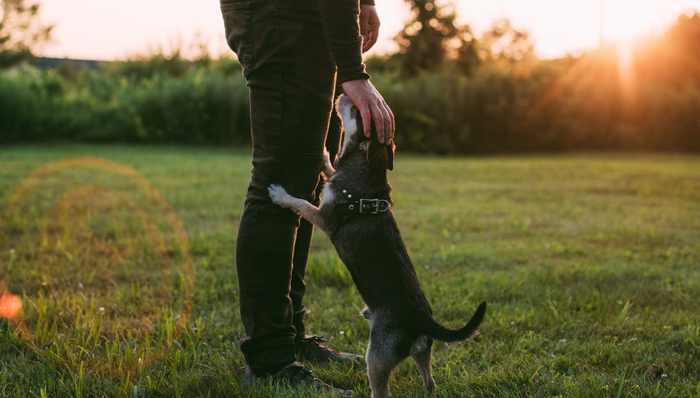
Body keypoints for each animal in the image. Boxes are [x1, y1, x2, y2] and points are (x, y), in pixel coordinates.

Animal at [268, 94, 486, 398]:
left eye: (356, 112)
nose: (343, 94)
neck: (368, 170)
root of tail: (422, 319)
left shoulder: (325, 218)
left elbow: (301, 203)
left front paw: (281, 195)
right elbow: (330, 168)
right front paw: (324, 152)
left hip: (377, 356)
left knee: (381, 389)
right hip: (421, 351)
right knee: (429, 377)